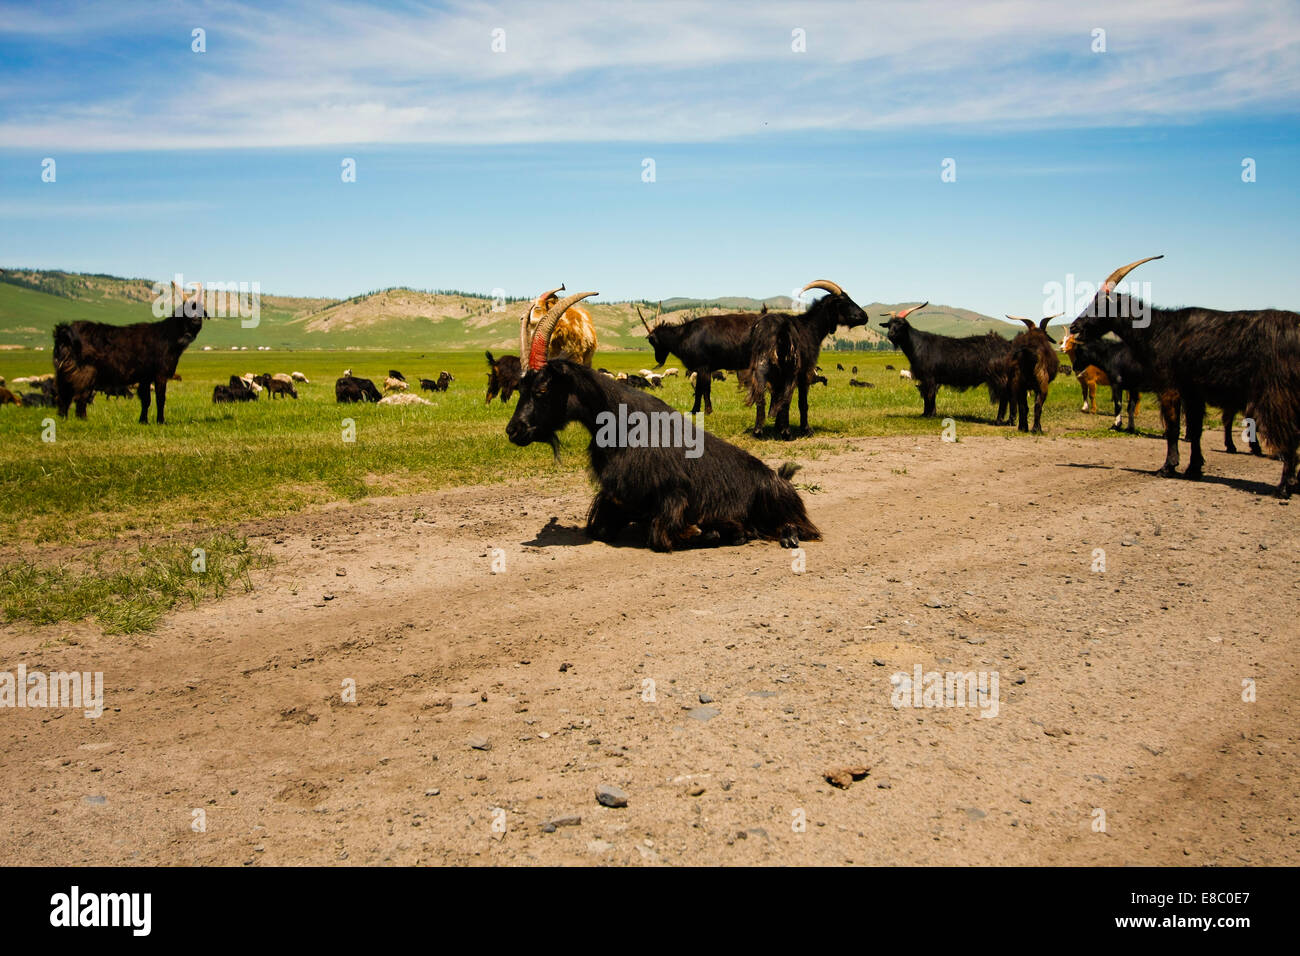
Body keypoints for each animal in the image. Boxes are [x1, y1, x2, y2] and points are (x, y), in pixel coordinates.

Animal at [54, 282, 207, 423]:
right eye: (185, 311)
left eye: (200, 311)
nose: (196, 320)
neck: (168, 335)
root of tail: (64, 333)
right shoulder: (160, 373)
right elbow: (160, 398)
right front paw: (160, 421)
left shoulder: (145, 377)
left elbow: (146, 400)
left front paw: (143, 421)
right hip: (84, 373)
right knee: (80, 398)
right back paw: (83, 420)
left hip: (64, 373)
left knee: (64, 397)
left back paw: (64, 419)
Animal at [506, 292, 821, 551]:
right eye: (520, 388)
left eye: (542, 388)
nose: (513, 430)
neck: (617, 423)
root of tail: (779, 477)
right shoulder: (615, 498)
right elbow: (599, 528)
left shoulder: (673, 494)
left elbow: (660, 535)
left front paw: (712, 531)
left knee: (800, 528)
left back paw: (782, 535)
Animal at [745, 280, 870, 439]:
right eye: (844, 301)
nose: (864, 316)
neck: (811, 327)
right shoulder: (806, 372)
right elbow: (802, 402)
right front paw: (805, 430)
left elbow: (776, 399)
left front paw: (777, 427)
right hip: (791, 370)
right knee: (786, 399)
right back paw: (787, 433)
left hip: (761, 367)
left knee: (760, 397)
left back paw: (758, 432)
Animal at [878, 302, 1015, 423]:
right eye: (889, 324)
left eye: (901, 324)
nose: (890, 334)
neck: (918, 345)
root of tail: (1008, 345)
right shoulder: (929, 379)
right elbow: (928, 395)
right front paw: (926, 414)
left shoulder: (929, 377)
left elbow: (929, 395)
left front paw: (929, 415)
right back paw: (1010, 421)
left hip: (998, 377)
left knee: (1004, 396)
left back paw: (999, 420)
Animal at [1069, 255, 1297, 494]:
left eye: (1099, 306)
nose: (1074, 326)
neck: (1157, 330)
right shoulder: (1193, 393)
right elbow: (1195, 431)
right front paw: (1193, 469)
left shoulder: (1170, 388)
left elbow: (1173, 427)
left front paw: (1168, 467)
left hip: (1276, 394)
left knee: (1289, 432)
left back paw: (1284, 485)